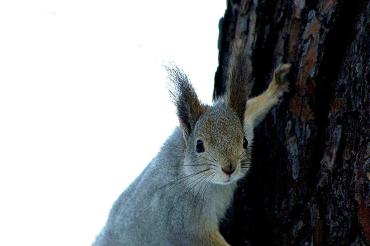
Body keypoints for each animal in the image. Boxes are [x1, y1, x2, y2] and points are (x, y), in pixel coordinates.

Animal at [94, 44, 290, 246]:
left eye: (244, 142)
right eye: (199, 146)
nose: (229, 168)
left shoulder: (248, 123)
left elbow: (253, 108)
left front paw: (275, 88)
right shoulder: (184, 221)